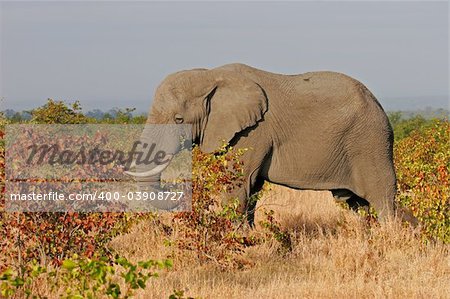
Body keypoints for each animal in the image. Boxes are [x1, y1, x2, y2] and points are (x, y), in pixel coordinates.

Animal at [125, 63, 398, 225]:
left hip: (370, 143)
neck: (210, 74)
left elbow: (239, 186)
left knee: (382, 199)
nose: (178, 187)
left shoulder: (253, 133)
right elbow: (251, 188)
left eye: (179, 119)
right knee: (356, 204)